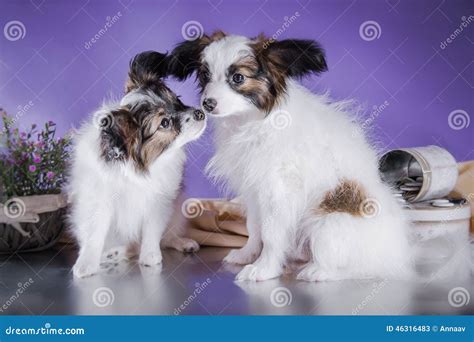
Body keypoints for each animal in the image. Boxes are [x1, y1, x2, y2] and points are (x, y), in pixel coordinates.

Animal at [69, 52, 206, 280]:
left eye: (178, 100)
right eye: (165, 123)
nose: (201, 113)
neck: (137, 166)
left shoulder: (159, 202)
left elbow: (152, 230)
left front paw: (150, 256)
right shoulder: (100, 203)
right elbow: (95, 235)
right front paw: (86, 264)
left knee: (166, 237)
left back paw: (181, 243)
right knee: (127, 246)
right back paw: (114, 254)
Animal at [162, 32, 412, 284]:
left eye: (238, 78)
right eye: (205, 75)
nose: (207, 104)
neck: (252, 121)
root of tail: (397, 254)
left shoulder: (278, 191)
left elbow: (271, 234)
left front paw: (264, 268)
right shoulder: (254, 190)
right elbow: (254, 227)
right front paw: (247, 254)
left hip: (327, 224)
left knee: (360, 267)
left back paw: (319, 271)